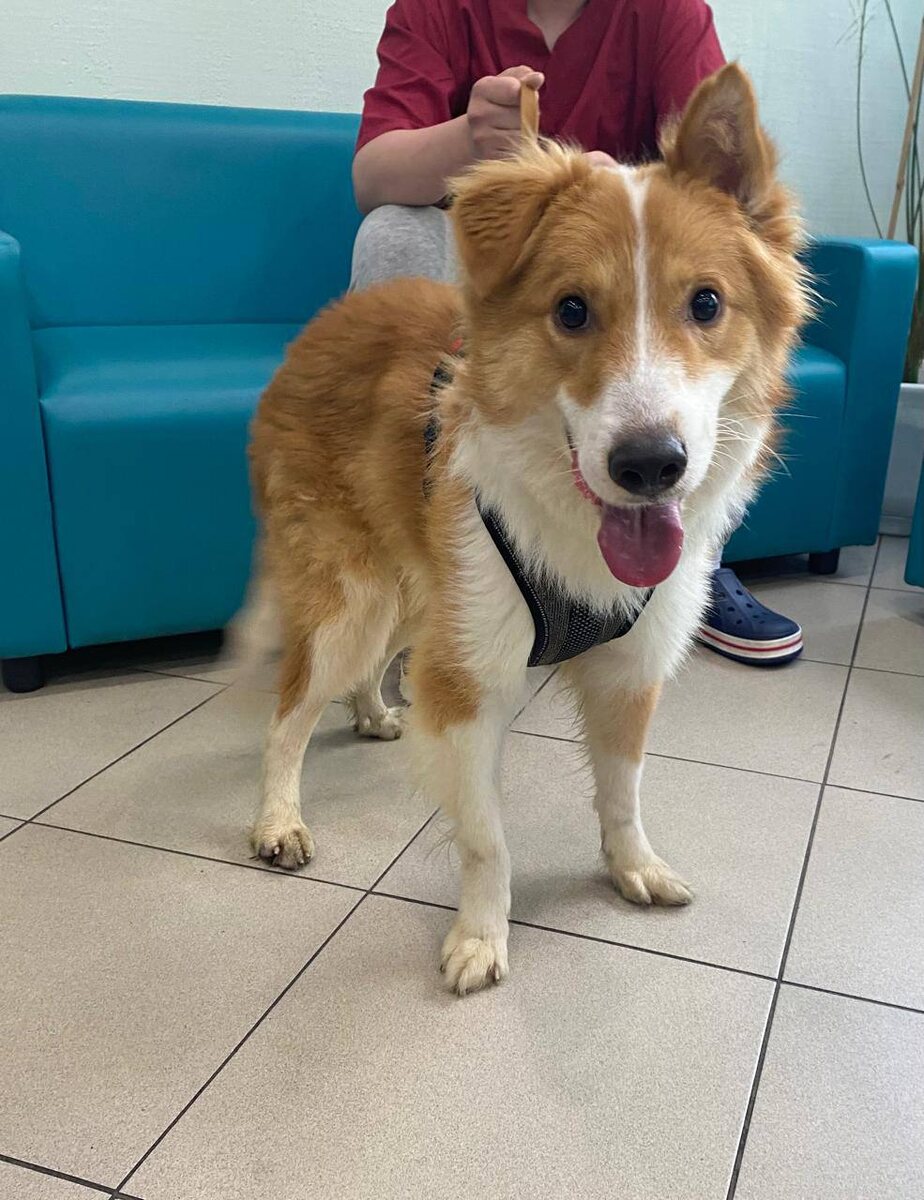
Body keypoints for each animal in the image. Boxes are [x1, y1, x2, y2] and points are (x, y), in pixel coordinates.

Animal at [235, 64, 809, 995]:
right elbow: (485, 839)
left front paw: (632, 867)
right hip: (351, 595)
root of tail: (323, 325)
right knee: (288, 713)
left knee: (366, 669)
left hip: (417, 590)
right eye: (571, 311)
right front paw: (480, 936)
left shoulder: (628, 669)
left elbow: (623, 792)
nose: (651, 465)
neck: (575, 527)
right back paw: (278, 819)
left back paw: (374, 712)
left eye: (707, 303)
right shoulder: (468, 683)